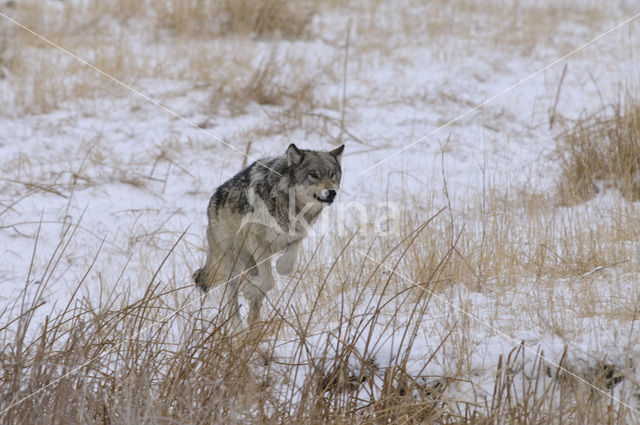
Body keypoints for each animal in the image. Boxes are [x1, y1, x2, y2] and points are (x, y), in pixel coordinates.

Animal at [195, 142, 344, 324]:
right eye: (314, 175)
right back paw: (238, 327)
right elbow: (269, 281)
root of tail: (212, 202)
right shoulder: (257, 240)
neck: (290, 206)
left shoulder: (297, 237)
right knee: (232, 298)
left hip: (249, 263)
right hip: (232, 262)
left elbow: (284, 268)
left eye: (332, 175)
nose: (332, 192)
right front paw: (251, 288)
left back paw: (254, 325)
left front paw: (255, 286)